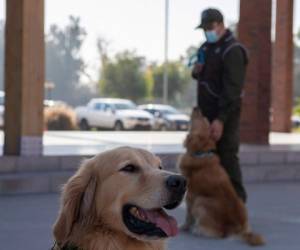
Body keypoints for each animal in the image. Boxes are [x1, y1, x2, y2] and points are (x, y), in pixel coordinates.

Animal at [178, 108, 264, 246]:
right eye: (206, 120)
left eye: (203, 119)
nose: (197, 108)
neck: (201, 153)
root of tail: (236, 228)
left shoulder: (191, 195)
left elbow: (188, 215)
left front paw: (184, 227)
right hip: (240, 202)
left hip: (200, 201)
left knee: (217, 233)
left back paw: (198, 230)